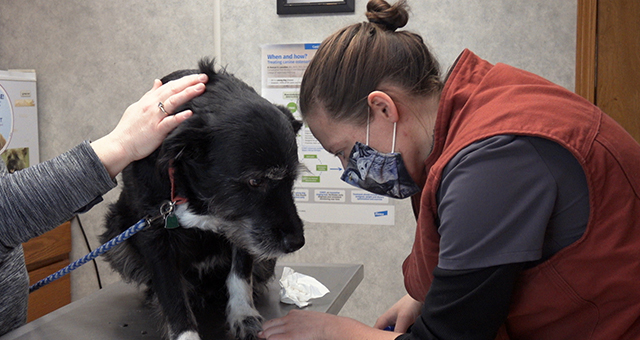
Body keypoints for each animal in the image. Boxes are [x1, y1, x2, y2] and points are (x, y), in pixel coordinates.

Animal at [102, 59, 304, 338]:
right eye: (255, 181)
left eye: (292, 179)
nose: (297, 242)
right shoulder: (154, 235)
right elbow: (172, 295)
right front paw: (186, 333)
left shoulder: (242, 230)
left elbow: (240, 275)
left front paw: (243, 315)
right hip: (115, 233)